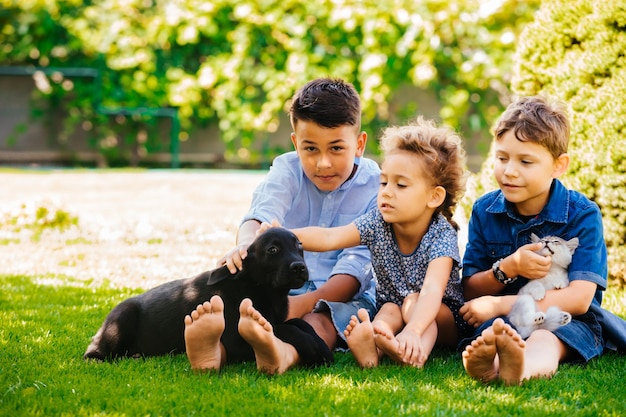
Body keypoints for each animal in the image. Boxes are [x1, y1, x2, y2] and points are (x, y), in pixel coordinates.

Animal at [83, 228, 308, 360]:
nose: (299, 267)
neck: (259, 288)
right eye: (272, 250)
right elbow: (283, 329)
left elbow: (291, 323)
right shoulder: (237, 341)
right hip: (123, 316)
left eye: (299, 245)